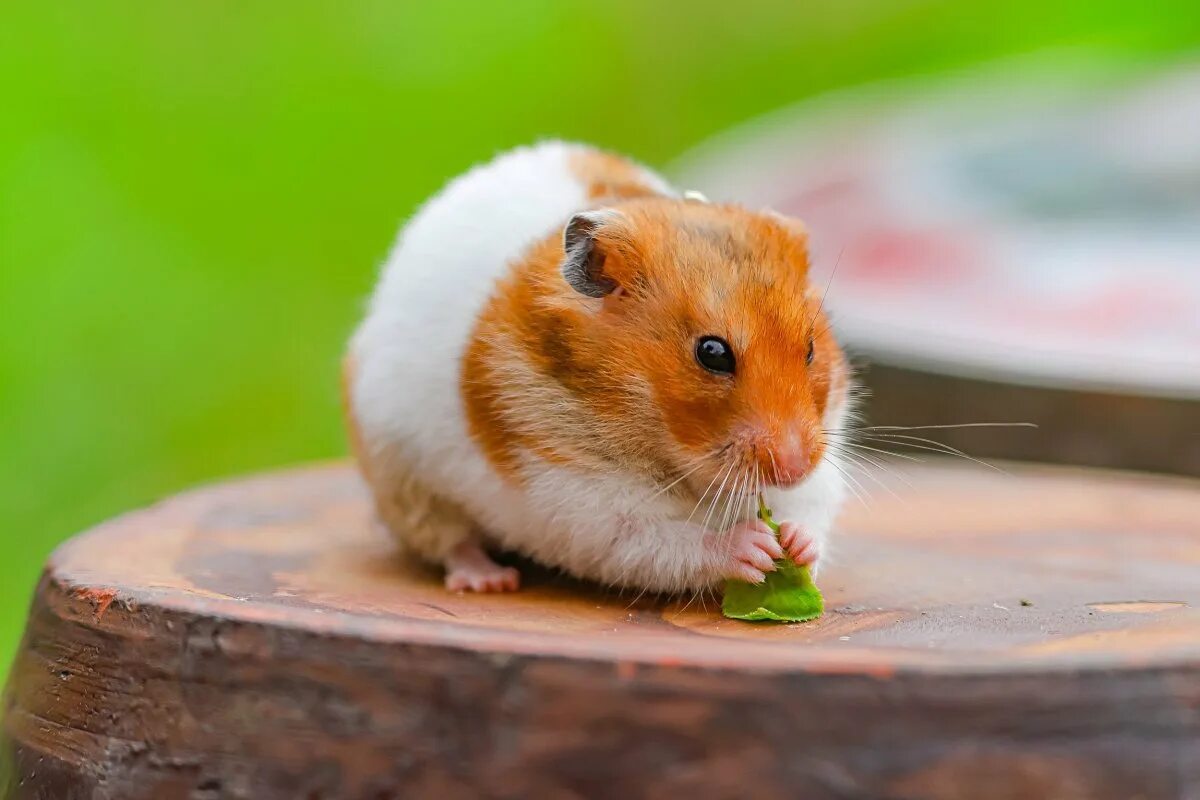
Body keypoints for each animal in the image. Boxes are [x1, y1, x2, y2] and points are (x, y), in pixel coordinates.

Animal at [345, 142, 854, 594]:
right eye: (712, 353)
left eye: (811, 348)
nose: (793, 467)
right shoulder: (573, 494)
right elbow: (661, 540)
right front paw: (755, 548)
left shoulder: (821, 454)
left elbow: (808, 506)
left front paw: (795, 545)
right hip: (404, 479)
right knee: (449, 543)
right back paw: (489, 580)